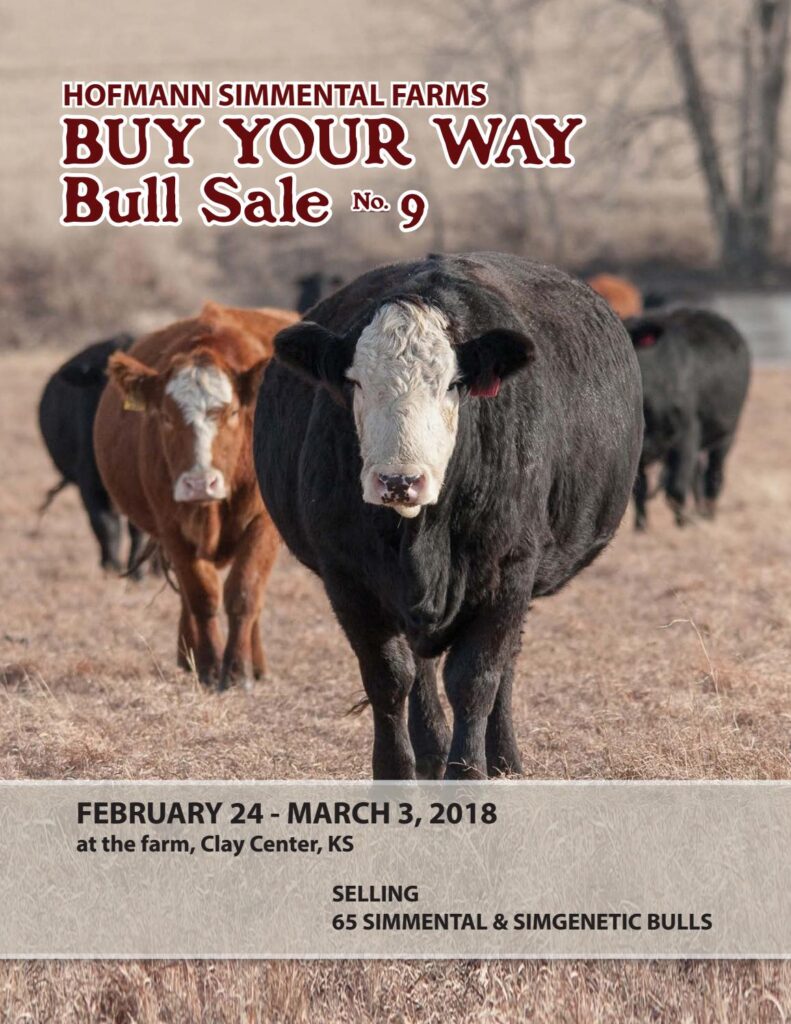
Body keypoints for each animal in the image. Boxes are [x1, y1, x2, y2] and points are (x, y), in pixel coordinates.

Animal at [38, 333, 148, 576]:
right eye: (106, 379)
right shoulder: (90, 481)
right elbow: (105, 524)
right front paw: (111, 567)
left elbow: (139, 529)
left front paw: (136, 573)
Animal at [94, 302, 299, 689]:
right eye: (166, 416)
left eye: (232, 412)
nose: (200, 483)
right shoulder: (172, 527)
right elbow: (201, 596)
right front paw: (208, 666)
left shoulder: (263, 524)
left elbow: (245, 591)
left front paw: (238, 670)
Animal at [254, 253, 643, 779]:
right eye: (355, 382)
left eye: (454, 384)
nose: (399, 480)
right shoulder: (347, 576)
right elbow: (388, 677)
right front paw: (397, 772)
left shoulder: (510, 567)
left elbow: (476, 678)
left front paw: (468, 773)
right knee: (420, 670)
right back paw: (433, 752)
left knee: (503, 665)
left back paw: (502, 759)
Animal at [627, 308, 751, 530]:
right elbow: (639, 490)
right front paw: (641, 528)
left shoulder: (688, 431)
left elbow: (676, 486)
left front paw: (682, 525)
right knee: (697, 475)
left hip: (727, 433)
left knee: (713, 475)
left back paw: (708, 513)